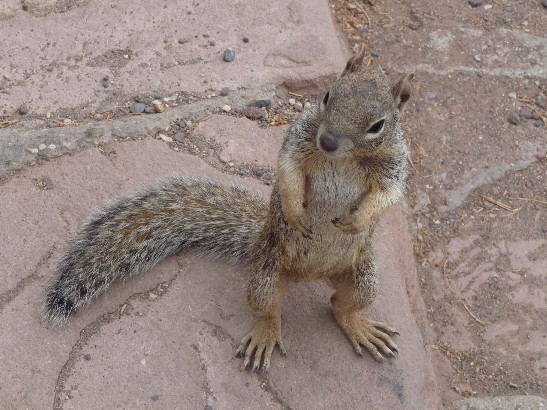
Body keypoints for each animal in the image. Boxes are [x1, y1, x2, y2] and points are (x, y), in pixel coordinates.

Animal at [42, 48, 414, 372]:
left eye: (378, 125)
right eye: (326, 96)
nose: (328, 142)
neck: (344, 158)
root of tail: (310, 275)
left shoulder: (394, 163)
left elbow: (389, 194)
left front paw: (359, 219)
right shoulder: (299, 138)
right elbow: (289, 169)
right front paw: (295, 212)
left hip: (363, 276)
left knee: (341, 304)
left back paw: (359, 326)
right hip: (267, 273)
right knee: (269, 310)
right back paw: (266, 334)